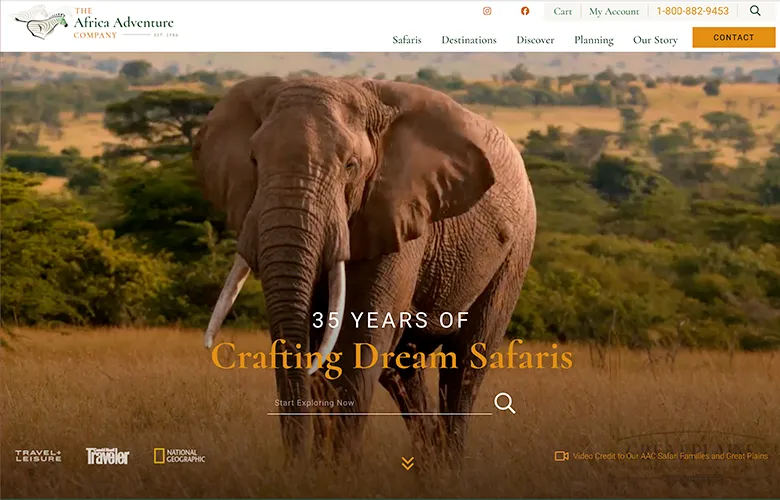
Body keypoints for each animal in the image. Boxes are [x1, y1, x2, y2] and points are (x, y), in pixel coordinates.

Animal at [192, 75, 537, 465]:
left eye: (351, 166)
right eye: (253, 160)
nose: (293, 464)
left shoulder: (398, 212)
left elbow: (359, 342)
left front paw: (340, 470)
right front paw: (319, 467)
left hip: (516, 250)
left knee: (466, 364)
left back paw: (448, 466)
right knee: (403, 369)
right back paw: (428, 468)